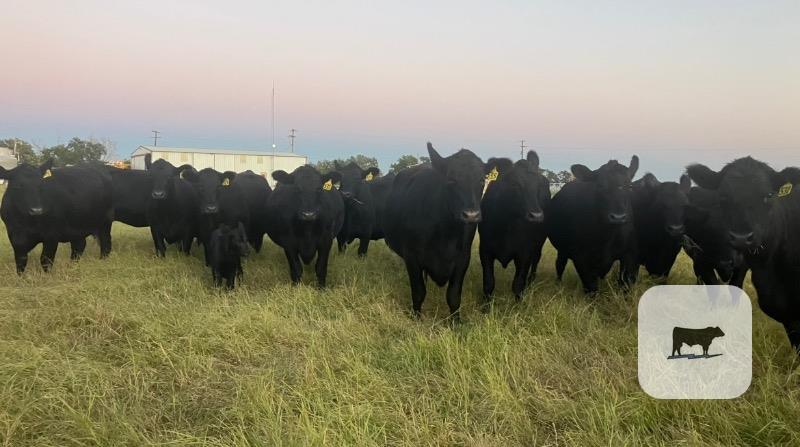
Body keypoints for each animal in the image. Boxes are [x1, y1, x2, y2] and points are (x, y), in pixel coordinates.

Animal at [383, 143, 486, 322]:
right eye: (451, 179)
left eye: (482, 180)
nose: (471, 215)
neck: (446, 236)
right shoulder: (411, 256)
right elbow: (418, 291)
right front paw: (416, 317)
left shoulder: (463, 259)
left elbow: (453, 295)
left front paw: (456, 321)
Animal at [478, 150, 550, 307]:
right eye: (515, 184)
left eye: (539, 186)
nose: (536, 216)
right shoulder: (485, 250)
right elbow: (488, 282)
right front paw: (485, 307)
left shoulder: (524, 253)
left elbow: (518, 284)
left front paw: (517, 307)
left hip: (539, 244)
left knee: (535, 262)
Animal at [547, 156, 639, 294]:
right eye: (600, 186)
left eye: (630, 186)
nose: (618, 217)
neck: (607, 237)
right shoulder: (581, 257)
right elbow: (591, 286)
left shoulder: (629, 254)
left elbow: (625, 283)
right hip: (562, 250)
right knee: (559, 265)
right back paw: (558, 284)